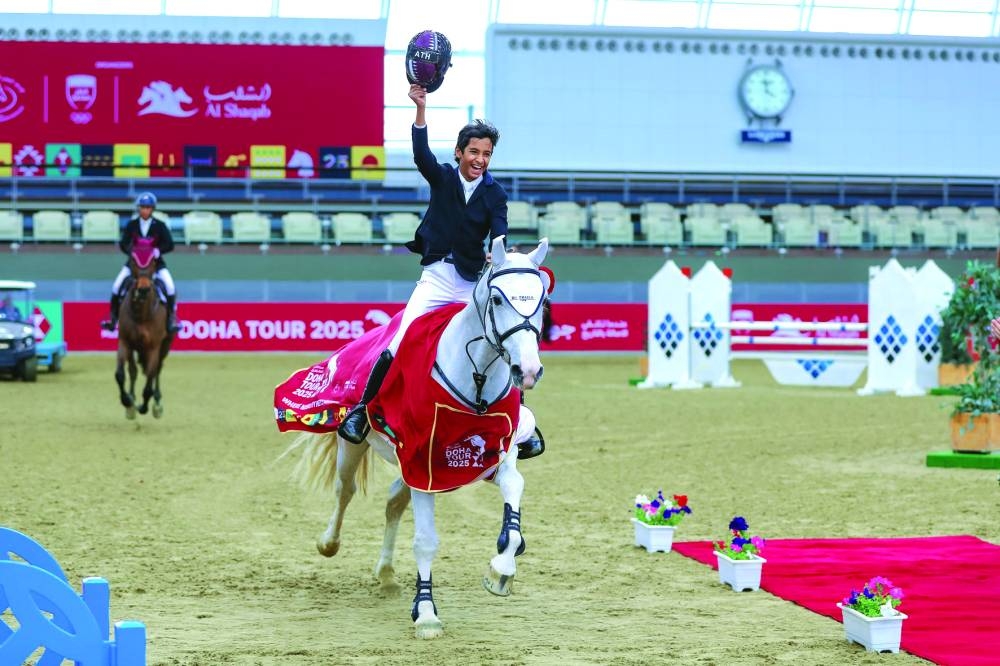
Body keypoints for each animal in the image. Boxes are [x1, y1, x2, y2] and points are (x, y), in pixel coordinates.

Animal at [114, 237, 172, 419]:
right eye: (133, 260)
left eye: (154, 261)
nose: (143, 290)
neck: (141, 313)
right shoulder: (125, 342)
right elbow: (120, 374)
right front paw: (127, 401)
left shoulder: (154, 347)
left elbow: (149, 383)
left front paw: (145, 407)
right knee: (133, 370)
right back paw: (131, 402)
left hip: (165, 346)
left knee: (157, 370)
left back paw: (157, 403)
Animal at [278, 236, 549, 639]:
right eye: (499, 300)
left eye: (542, 301)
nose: (528, 371)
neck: (476, 380)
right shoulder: (426, 466)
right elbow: (425, 542)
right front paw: (425, 614)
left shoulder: (482, 460)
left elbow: (515, 491)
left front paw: (501, 569)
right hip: (353, 447)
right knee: (345, 491)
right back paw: (329, 543)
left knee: (392, 502)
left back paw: (387, 575)